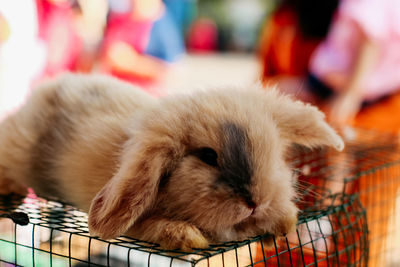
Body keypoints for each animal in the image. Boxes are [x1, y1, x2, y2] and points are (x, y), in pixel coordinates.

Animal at [0, 73, 344, 251]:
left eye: (272, 151)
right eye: (208, 156)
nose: (256, 202)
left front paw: (284, 222)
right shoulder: (137, 224)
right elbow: (155, 227)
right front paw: (189, 238)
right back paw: (10, 187)